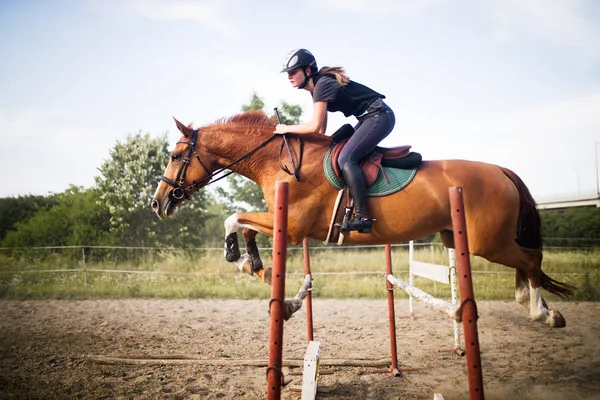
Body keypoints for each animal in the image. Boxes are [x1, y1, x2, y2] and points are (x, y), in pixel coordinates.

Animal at [152, 110, 576, 328]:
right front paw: (253, 263)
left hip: (489, 242)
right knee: (527, 261)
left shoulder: (294, 226)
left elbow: (234, 217)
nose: (158, 204)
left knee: (531, 260)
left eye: (175, 156)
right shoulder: (282, 221)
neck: (279, 159)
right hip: (459, 238)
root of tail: (502, 170)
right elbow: (244, 224)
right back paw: (530, 305)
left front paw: (237, 256)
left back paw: (543, 311)